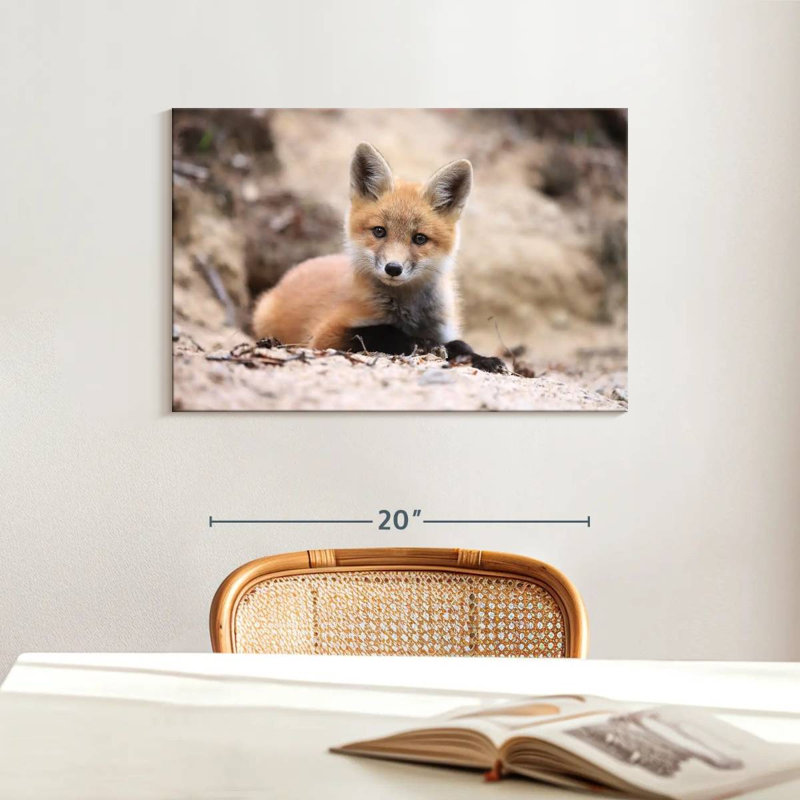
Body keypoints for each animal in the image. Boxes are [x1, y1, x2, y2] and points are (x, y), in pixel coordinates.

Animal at [251, 143, 505, 373]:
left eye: (419, 238)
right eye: (379, 231)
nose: (393, 268)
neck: (409, 312)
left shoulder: (443, 329)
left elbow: (462, 345)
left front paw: (484, 359)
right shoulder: (325, 335)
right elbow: (382, 332)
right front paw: (422, 343)